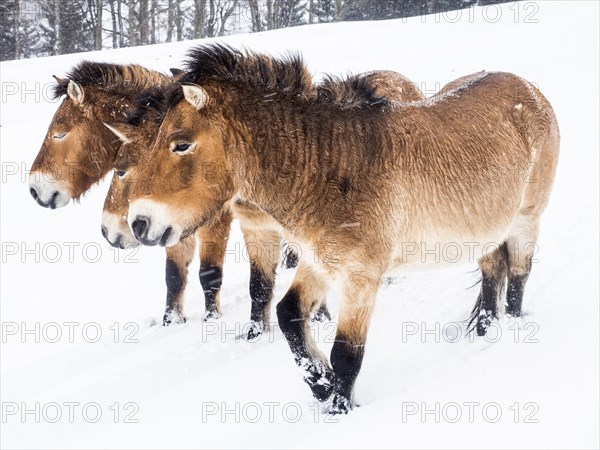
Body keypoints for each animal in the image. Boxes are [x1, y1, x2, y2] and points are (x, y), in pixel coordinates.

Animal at [102, 70, 422, 336]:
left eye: (122, 170)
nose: (114, 230)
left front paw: (320, 318)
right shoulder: (253, 227)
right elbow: (255, 283)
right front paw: (254, 332)